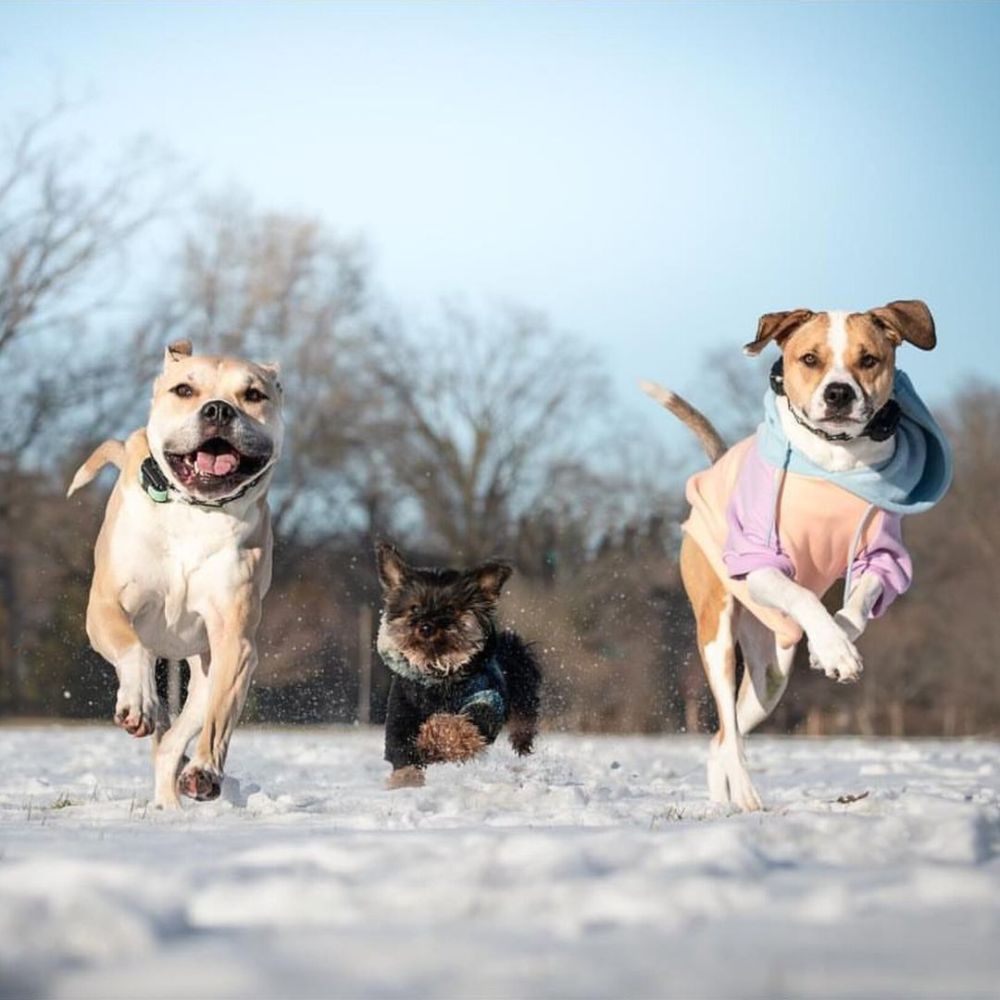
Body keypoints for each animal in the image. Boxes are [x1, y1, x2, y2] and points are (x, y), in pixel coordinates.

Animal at [68, 340, 284, 808]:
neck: (194, 512)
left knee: (172, 744)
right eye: (184, 389)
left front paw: (203, 771)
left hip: (203, 674)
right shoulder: (106, 606)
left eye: (253, 395)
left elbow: (220, 716)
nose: (218, 410)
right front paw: (138, 703)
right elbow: (134, 649)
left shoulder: (235, 642)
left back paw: (172, 802)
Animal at [374, 544, 540, 784]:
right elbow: (402, 752)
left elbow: (457, 725)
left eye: (450, 609)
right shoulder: (402, 712)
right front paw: (405, 781)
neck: (437, 673)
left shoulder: (486, 699)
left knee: (524, 720)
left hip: (522, 682)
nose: (426, 626)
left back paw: (521, 741)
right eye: (414, 608)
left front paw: (435, 738)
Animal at [644, 300, 948, 808]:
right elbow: (803, 595)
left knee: (724, 735)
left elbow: (858, 602)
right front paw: (836, 650)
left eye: (869, 359)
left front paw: (834, 645)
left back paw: (726, 799)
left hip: (770, 675)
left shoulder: (883, 556)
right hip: (717, 633)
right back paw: (747, 796)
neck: (835, 461)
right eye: (810, 359)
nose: (839, 393)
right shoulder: (758, 563)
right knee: (726, 723)